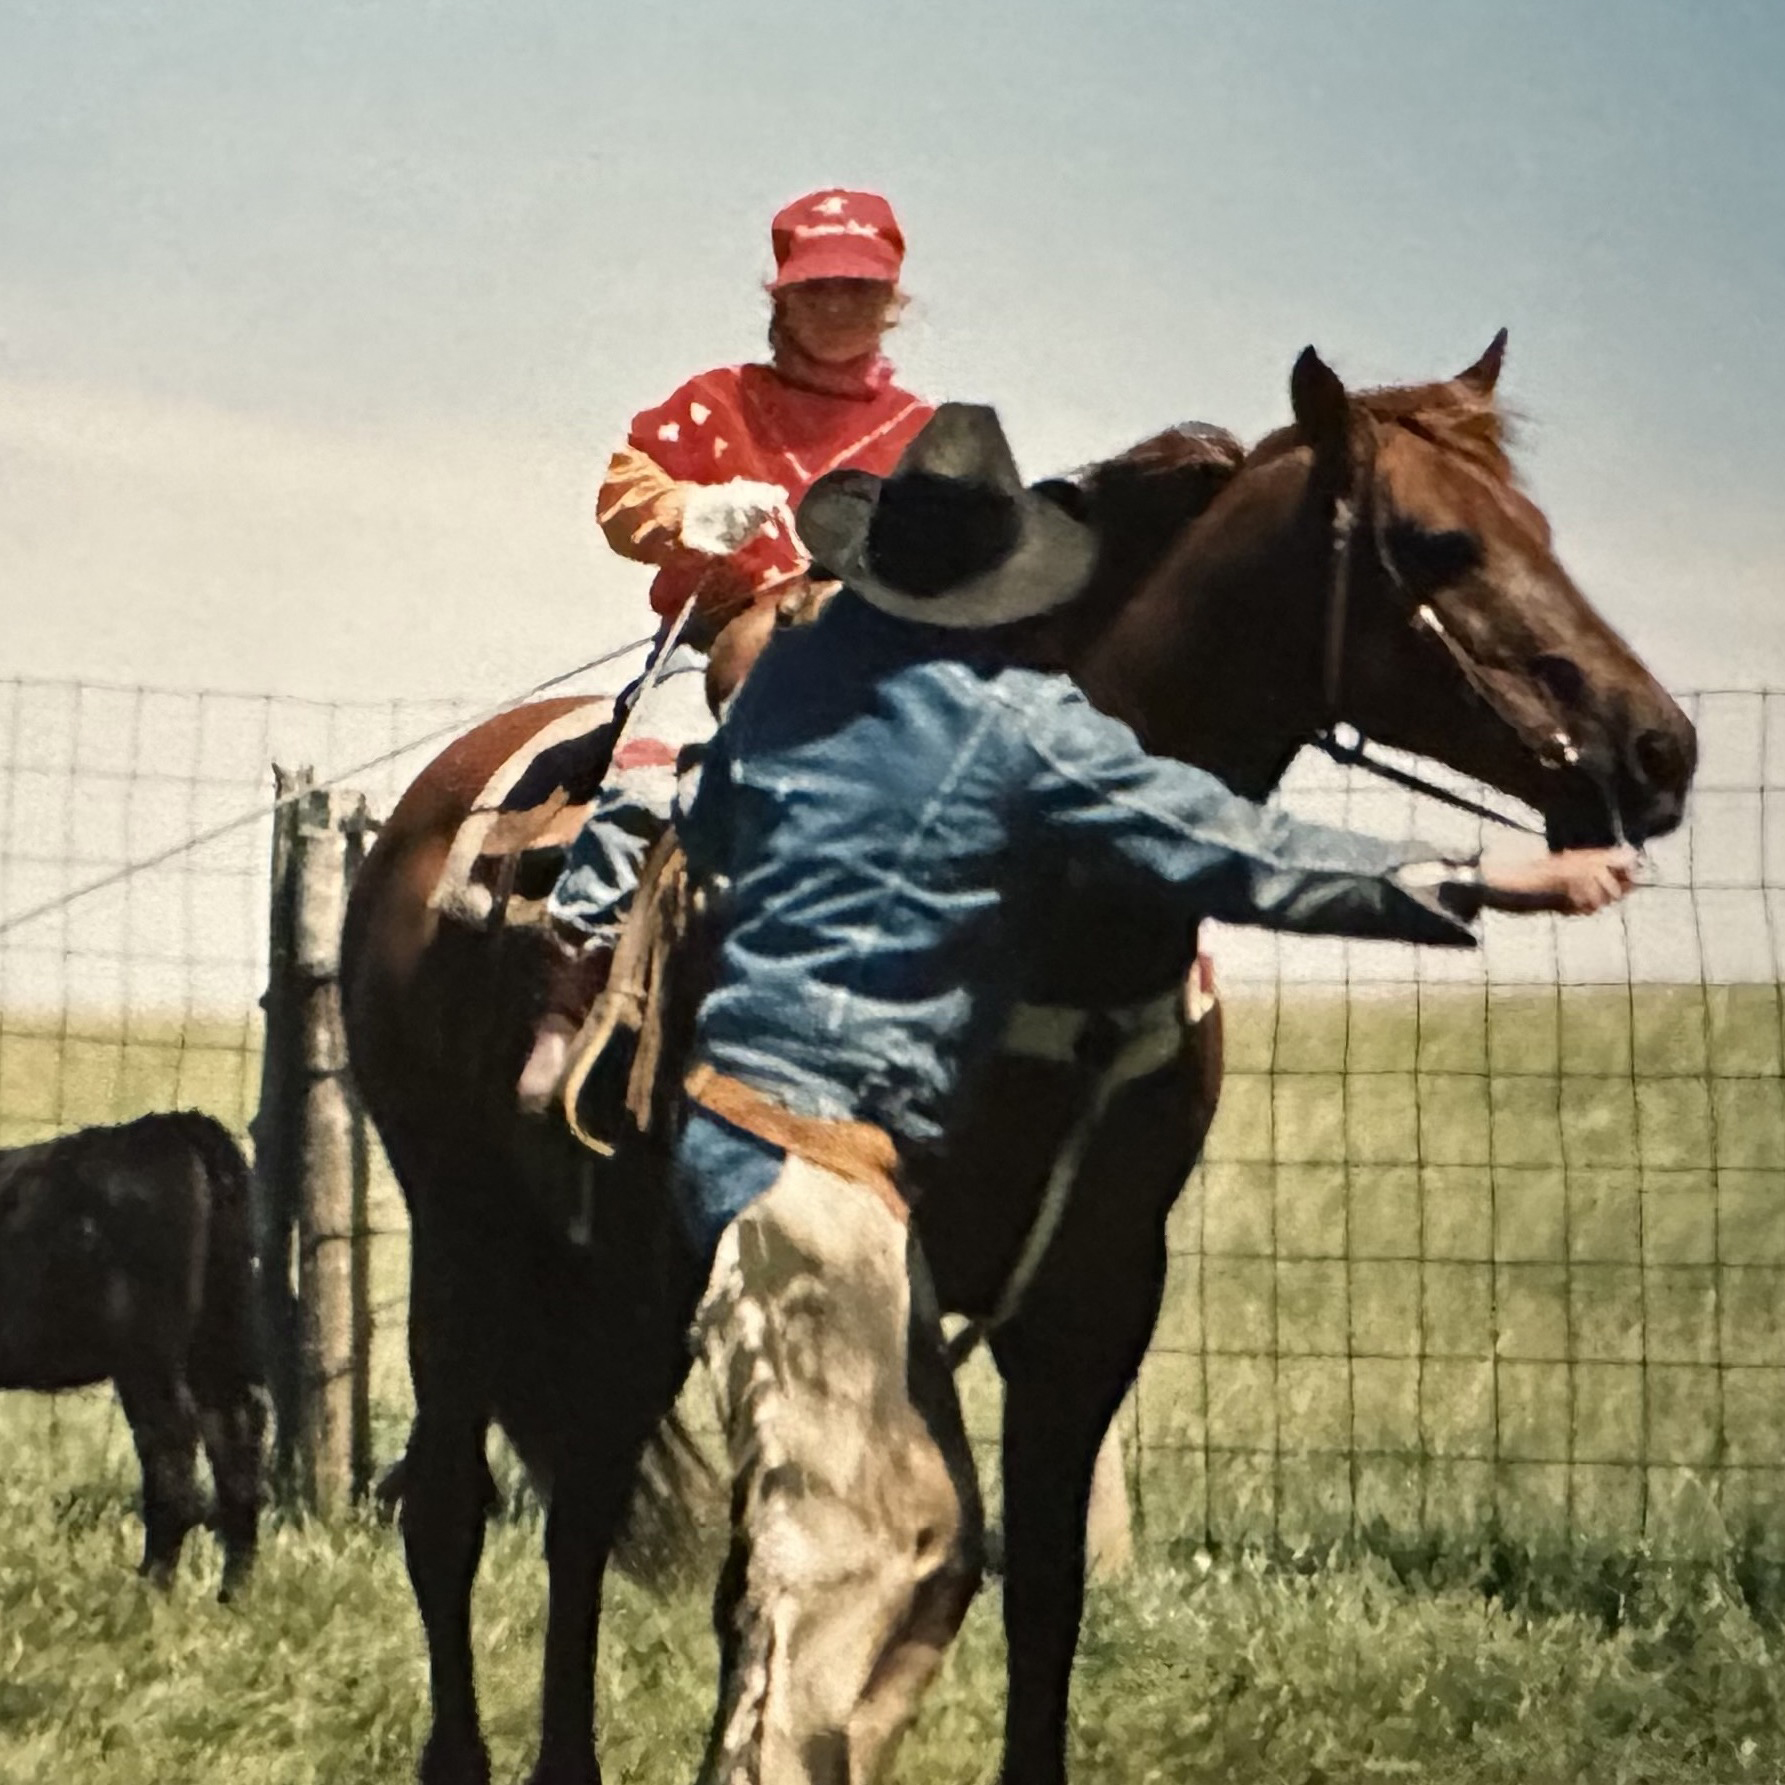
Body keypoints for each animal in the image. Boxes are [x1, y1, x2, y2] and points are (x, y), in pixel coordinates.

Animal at [0, 1106, 264, 1599]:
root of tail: (169, 1126)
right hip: (219, 1337)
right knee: (235, 1436)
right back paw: (233, 1595)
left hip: (147, 1355)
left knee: (172, 1451)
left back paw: (148, 1588)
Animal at [340, 337, 1692, 1785]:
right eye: (1437, 540)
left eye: (1537, 526)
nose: (1657, 747)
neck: (1064, 910)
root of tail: (429, 806)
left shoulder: (1096, 1296)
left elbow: (1041, 1585)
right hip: (465, 1230)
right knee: (454, 1506)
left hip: (618, 1277)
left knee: (586, 1497)